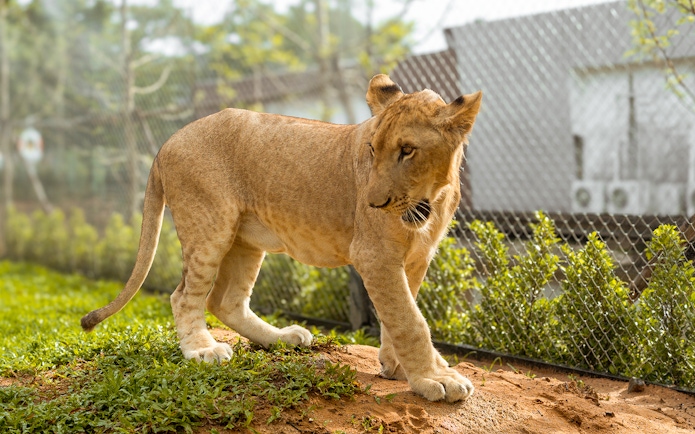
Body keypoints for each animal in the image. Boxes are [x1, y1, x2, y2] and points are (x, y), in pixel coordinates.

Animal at [81, 74, 482, 403]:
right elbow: (410, 320)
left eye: (407, 150)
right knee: (184, 296)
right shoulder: (375, 256)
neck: (431, 199)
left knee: (226, 302)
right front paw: (435, 378)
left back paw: (283, 338)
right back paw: (203, 351)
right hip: (210, 227)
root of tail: (168, 141)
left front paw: (397, 365)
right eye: (372, 149)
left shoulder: (416, 258)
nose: (372, 203)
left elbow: (398, 313)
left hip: (245, 240)